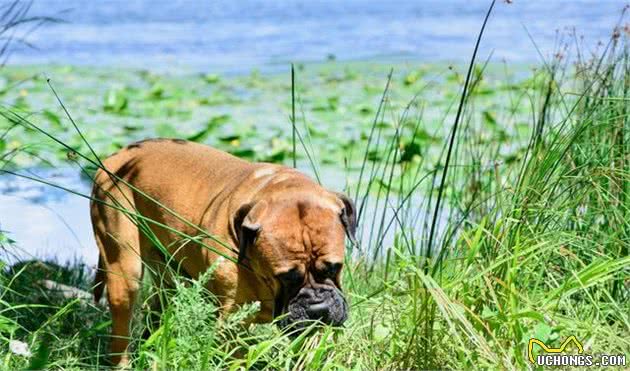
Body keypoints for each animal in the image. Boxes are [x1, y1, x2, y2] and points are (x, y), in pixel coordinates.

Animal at [90, 139, 356, 366]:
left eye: (334, 268)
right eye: (286, 277)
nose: (318, 309)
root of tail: (117, 156)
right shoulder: (231, 324)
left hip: (168, 275)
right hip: (124, 271)